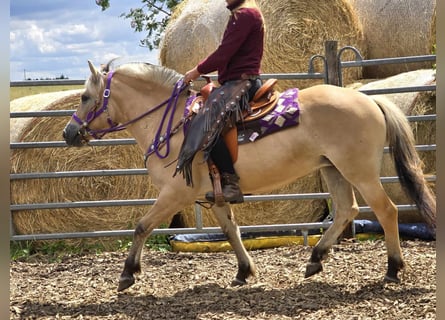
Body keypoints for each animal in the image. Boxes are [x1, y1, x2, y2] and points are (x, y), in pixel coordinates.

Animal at [61, 60, 434, 292]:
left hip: (359, 172)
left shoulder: (174, 194)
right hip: (333, 169)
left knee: (386, 211)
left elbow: (141, 226)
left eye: (85, 97)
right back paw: (315, 259)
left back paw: (393, 268)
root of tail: (369, 100)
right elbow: (231, 230)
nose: (68, 133)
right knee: (347, 210)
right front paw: (244, 271)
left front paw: (128, 273)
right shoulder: (215, 195)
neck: (175, 125)